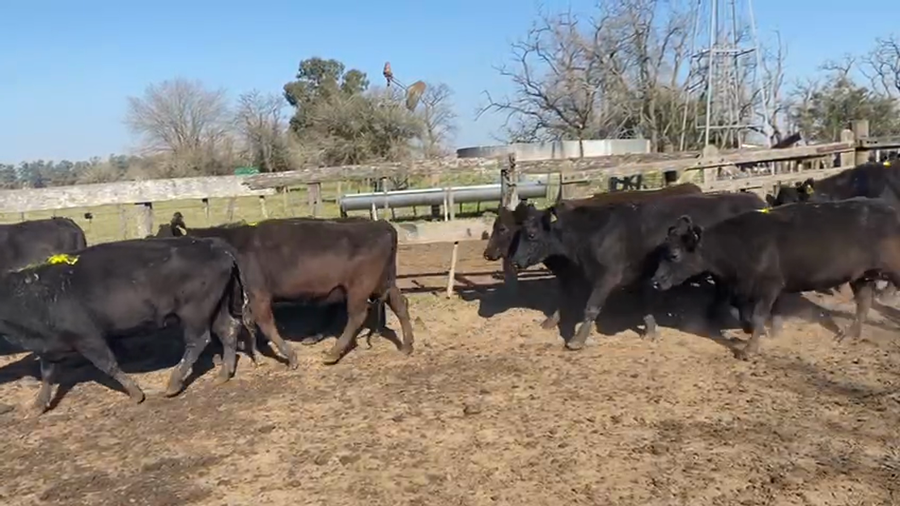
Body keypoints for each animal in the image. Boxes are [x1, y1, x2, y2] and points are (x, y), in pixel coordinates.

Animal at [0, 236, 249, 415]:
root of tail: (213, 244)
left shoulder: (88, 338)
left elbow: (108, 365)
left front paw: (136, 393)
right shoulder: (48, 346)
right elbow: (47, 374)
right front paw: (38, 405)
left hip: (194, 313)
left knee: (197, 341)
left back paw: (174, 383)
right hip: (217, 308)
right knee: (228, 329)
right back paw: (224, 373)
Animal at [158, 213, 414, 367]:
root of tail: (380, 224)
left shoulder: (258, 294)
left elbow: (265, 323)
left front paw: (288, 356)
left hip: (359, 287)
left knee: (357, 315)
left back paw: (333, 352)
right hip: (383, 283)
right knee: (399, 303)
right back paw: (407, 345)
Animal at [509, 192, 767, 349]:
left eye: (531, 234)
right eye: (518, 232)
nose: (515, 260)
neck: (594, 232)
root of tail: (757, 200)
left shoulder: (607, 277)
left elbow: (591, 307)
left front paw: (576, 340)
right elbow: (643, 304)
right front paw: (650, 330)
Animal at [651, 198, 900, 359]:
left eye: (674, 254)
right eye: (662, 250)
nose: (655, 280)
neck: (740, 245)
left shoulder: (769, 286)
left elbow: (759, 315)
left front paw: (749, 350)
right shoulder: (744, 288)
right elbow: (746, 314)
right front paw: (754, 332)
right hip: (862, 276)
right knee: (863, 304)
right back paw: (850, 335)